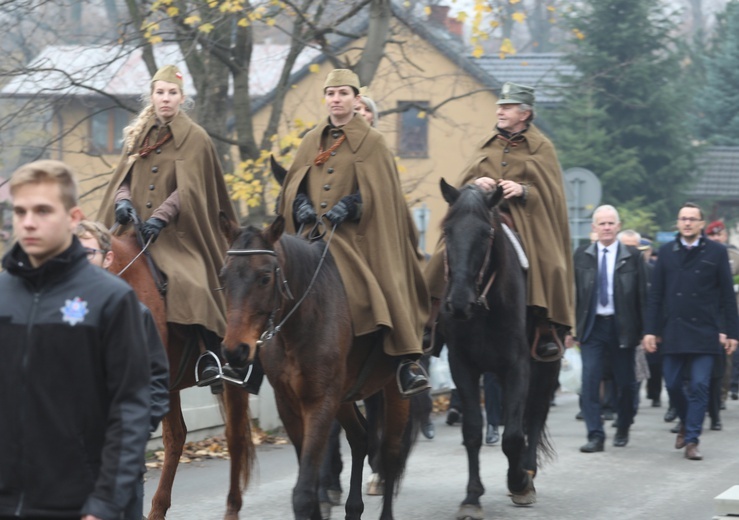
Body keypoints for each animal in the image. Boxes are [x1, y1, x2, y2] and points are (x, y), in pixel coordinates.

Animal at [218, 215, 416, 520]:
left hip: (392, 390)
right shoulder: (289, 404)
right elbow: (308, 480)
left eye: (265, 277)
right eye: (223, 278)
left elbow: (303, 492)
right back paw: (353, 508)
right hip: (344, 397)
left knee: (391, 453)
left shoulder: (320, 401)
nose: (234, 351)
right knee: (360, 438)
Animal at [440, 180, 556, 520]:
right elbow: (472, 431)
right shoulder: (462, 365)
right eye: (447, 230)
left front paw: (519, 482)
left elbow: (515, 435)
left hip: (547, 365)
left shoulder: (519, 366)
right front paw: (472, 497)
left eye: (485, 233)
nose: (459, 303)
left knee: (535, 414)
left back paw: (527, 472)